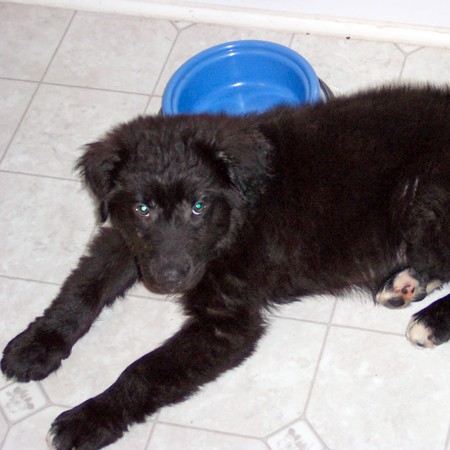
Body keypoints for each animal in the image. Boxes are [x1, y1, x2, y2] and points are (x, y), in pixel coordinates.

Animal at [1, 84, 448, 446]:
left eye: (199, 206)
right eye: (143, 208)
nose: (168, 279)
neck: (236, 217)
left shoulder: (226, 324)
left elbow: (145, 370)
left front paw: (89, 418)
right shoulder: (128, 240)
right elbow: (84, 286)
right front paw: (37, 343)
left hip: (421, 196)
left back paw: (429, 319)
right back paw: (407, 284)